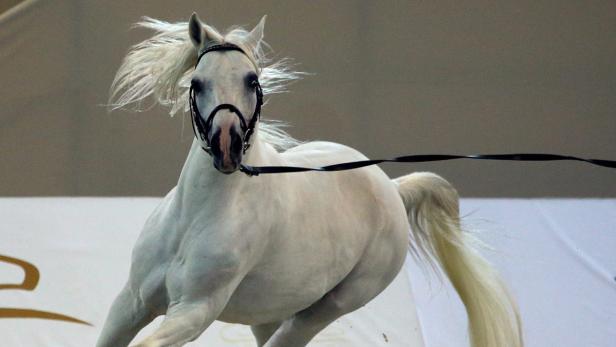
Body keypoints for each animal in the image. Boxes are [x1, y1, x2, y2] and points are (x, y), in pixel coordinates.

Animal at [98, 13, 524, 347]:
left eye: (252, 80)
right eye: (197, 83)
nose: (226, 147)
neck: (196, 217)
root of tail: (392, 189)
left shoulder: (194, 311)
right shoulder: (132, 302)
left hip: (326, 308)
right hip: (269, 314)